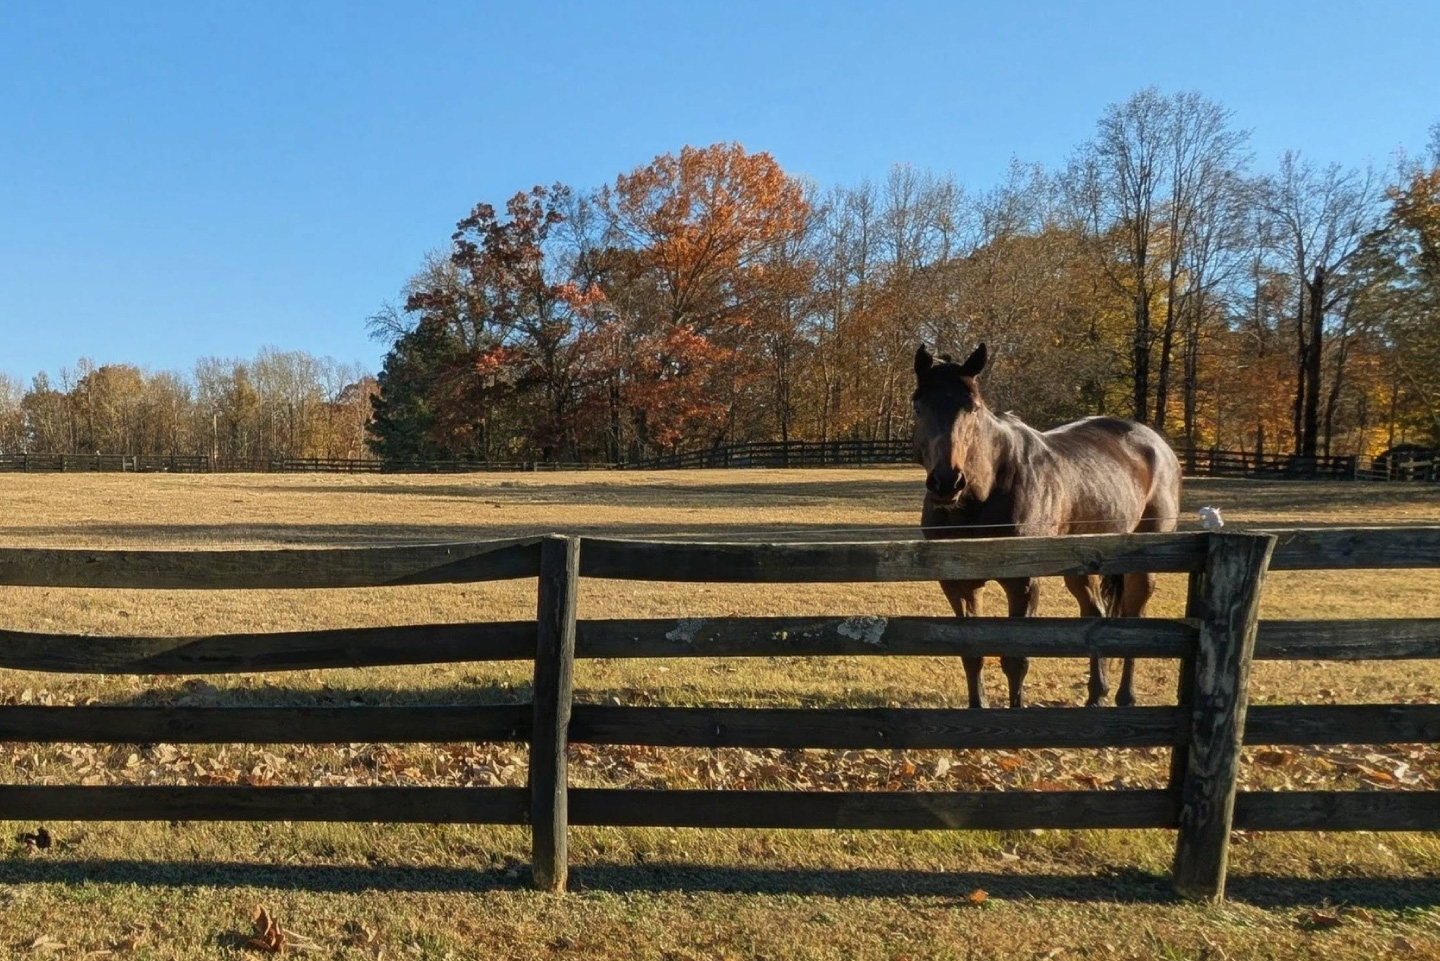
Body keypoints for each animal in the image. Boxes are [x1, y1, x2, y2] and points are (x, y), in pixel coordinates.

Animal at [911, 342, 1182, 709]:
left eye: (973, 408)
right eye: (918, 406)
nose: (946, 482)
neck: (984, 492)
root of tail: (1156, 444)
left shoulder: (1023, 583)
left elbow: (1016, 659)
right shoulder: (957, 584)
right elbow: (972, 653)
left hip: (1143, 563)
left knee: (1134, 620)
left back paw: (1125, 697)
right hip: (1082, 566)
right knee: (1095, 614)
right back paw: (1096, 695)